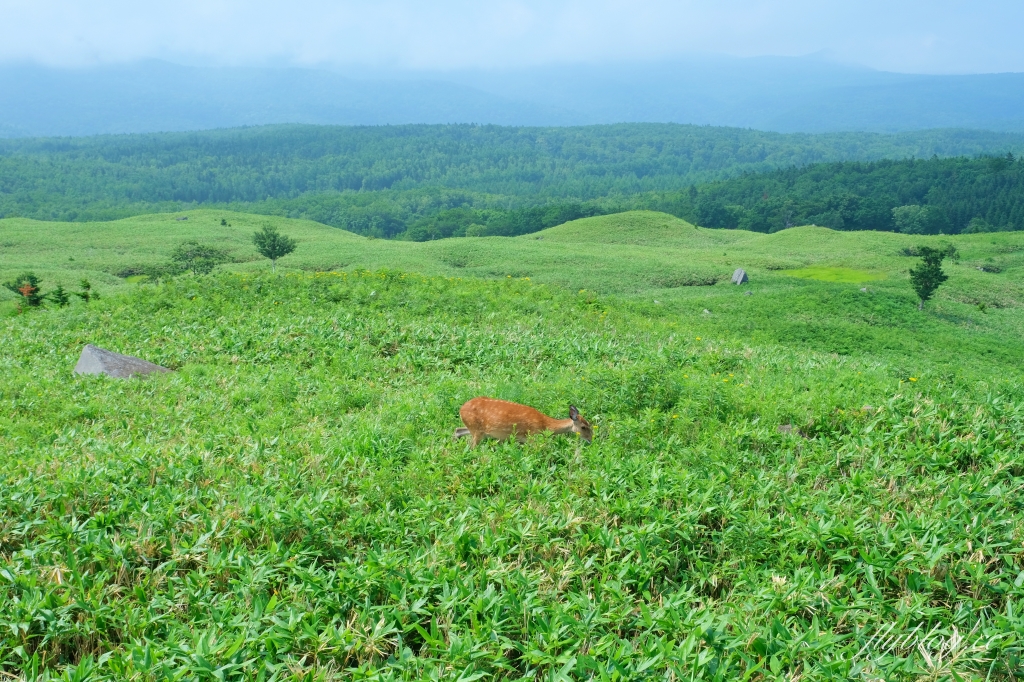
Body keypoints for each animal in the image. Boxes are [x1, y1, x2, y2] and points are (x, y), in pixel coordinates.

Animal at [454, 395, 593, 448]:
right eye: (584, 427)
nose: (590, 440)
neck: (545, 425)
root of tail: (461, 409)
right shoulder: (533, 437)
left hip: (475, 429)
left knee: (458, 430)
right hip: (477, 430)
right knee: (471, 446)